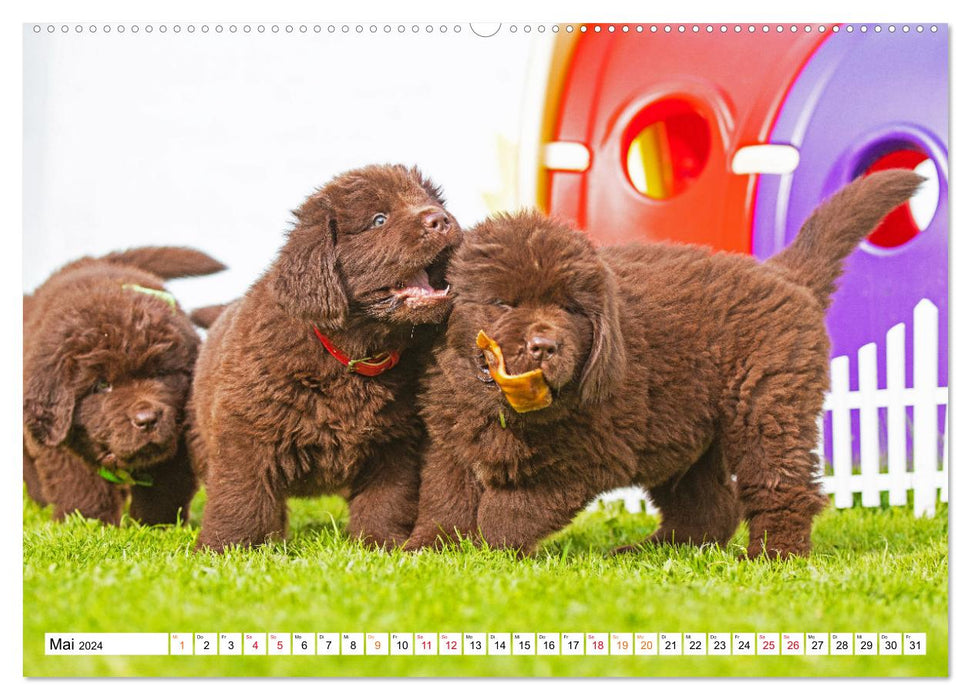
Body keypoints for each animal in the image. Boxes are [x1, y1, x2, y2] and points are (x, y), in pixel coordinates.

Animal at [25, 246, 227, 524]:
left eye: (160, 373)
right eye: (102, 385)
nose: (147, 420)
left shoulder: (177, 438)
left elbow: (164, 489)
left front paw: (156, 525)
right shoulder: (59, 440)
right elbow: (81, 486)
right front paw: (88, 522)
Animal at [194, 165, 464, 552]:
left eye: (431, 202)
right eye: (379, 220)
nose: (440, 220)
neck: (353, 357)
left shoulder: (395, 443)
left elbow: (387, 500)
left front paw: (380, 545)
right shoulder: (246, 432)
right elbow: (239, 497)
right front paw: (224, 550)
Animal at [406, 168, 924, 556]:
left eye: (571, 309)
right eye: (503, 303)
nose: (544, 346)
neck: (501, 407)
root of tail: (783, 273)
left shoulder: (584, 454)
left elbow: (513, 508)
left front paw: (490, 547)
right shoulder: (451, 442)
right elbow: (445, 499)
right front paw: (429, 550)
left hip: (767, 403)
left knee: (781, 485)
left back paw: (774, 556)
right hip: (684, 430)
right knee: (710, 507)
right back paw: (651, 550)